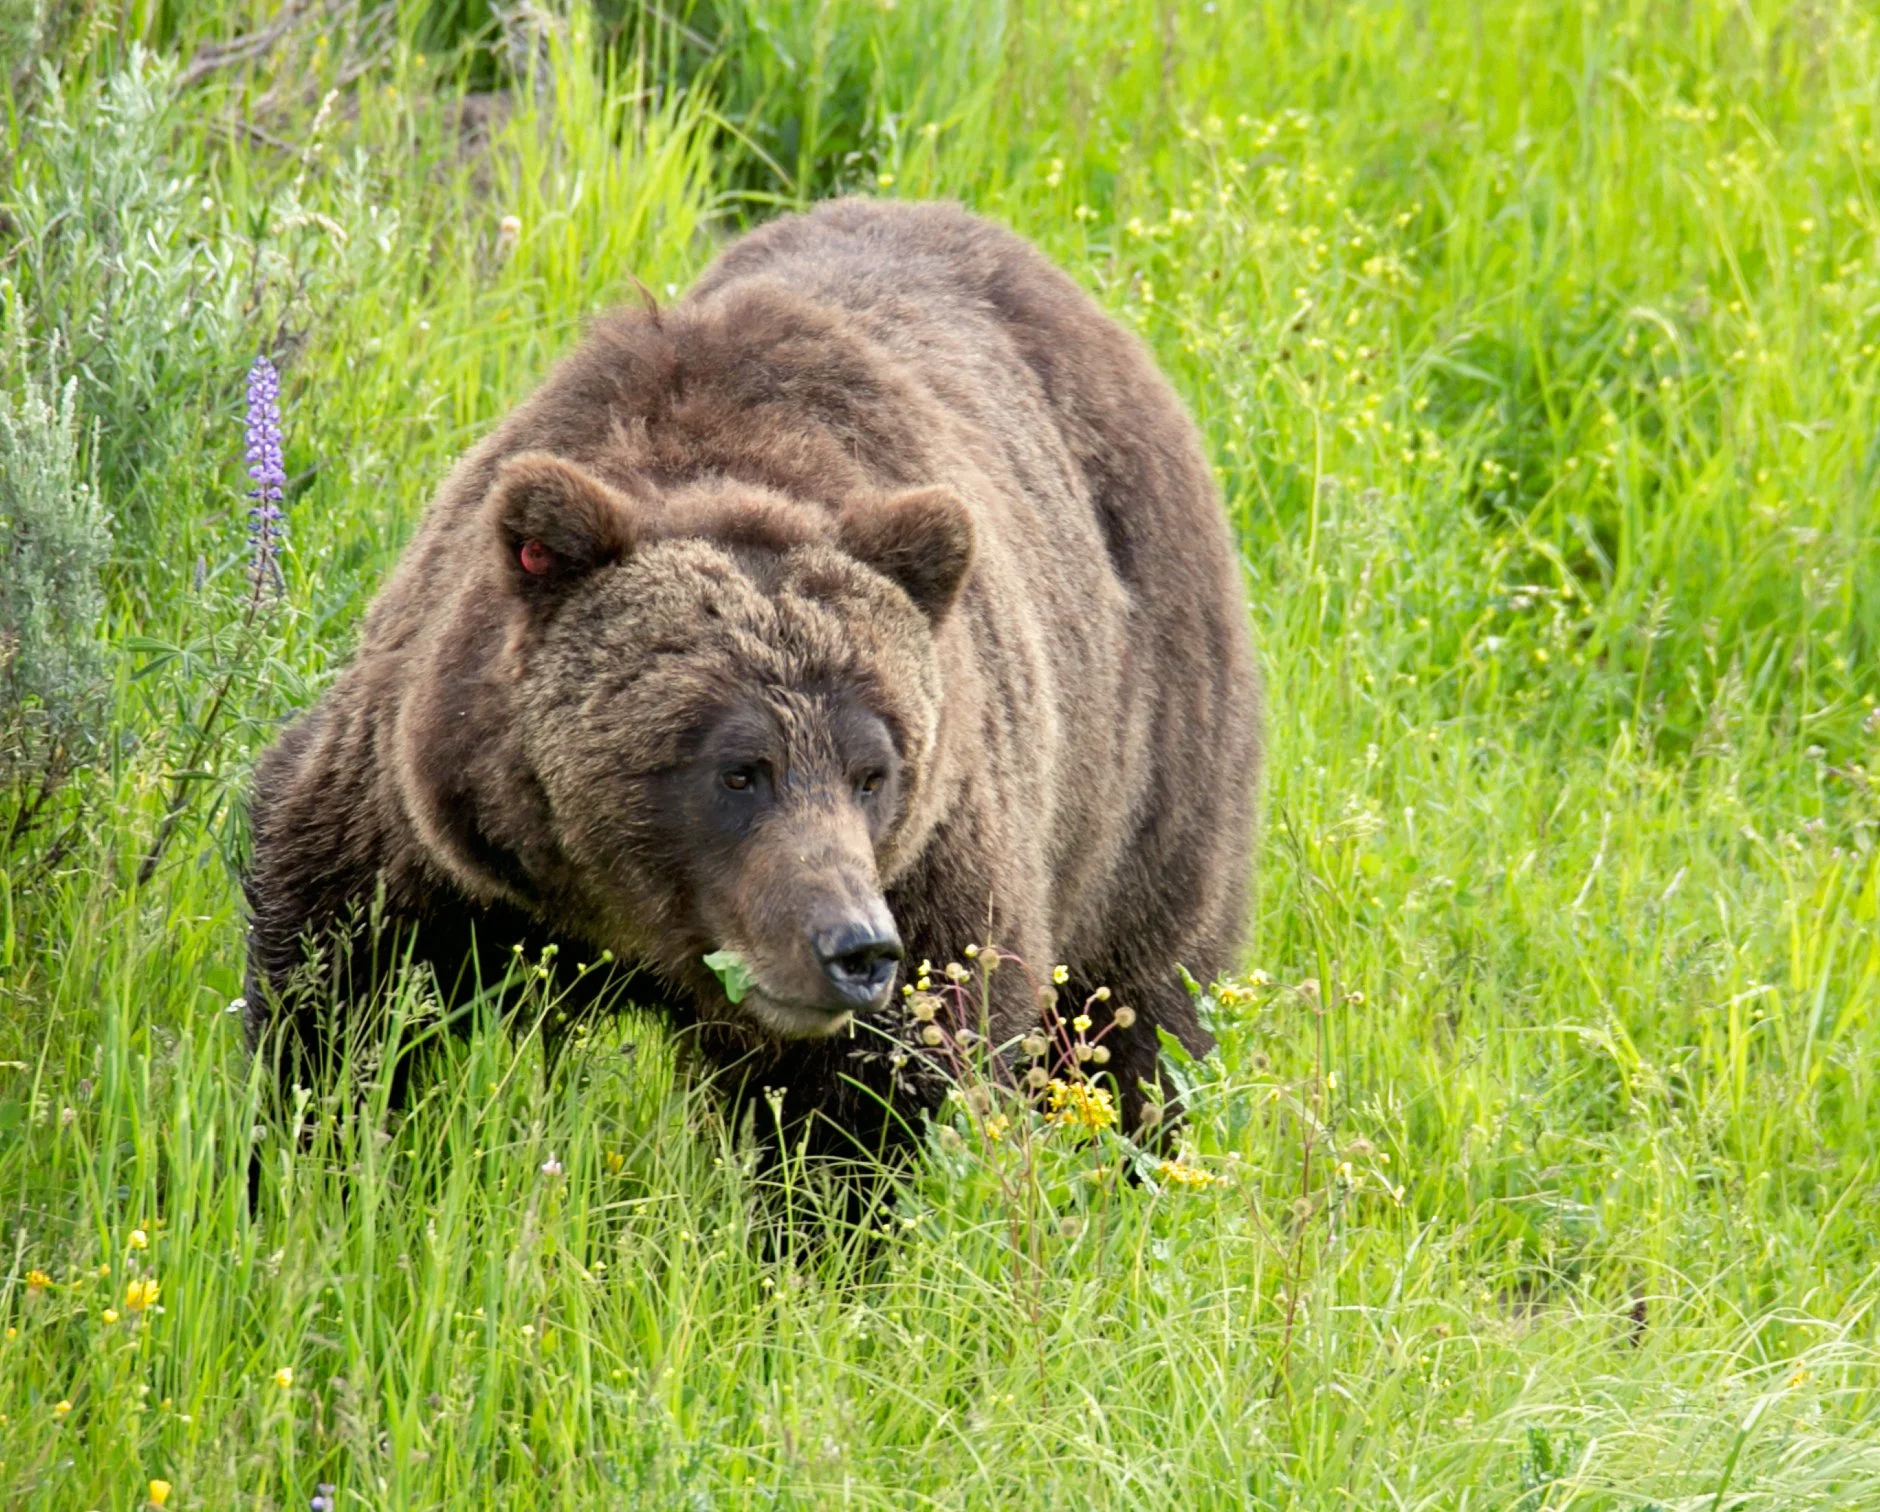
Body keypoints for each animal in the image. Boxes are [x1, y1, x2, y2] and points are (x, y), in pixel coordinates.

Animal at [242, 197, 1262, 1164]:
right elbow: (336, 999)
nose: (856, 948)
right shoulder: (425, 822)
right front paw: (305, 1156)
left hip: (1143, 775)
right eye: (740, 769)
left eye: (873, 772)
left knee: (1135, 1013)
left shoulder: (936, 874)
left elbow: (875, 1098)